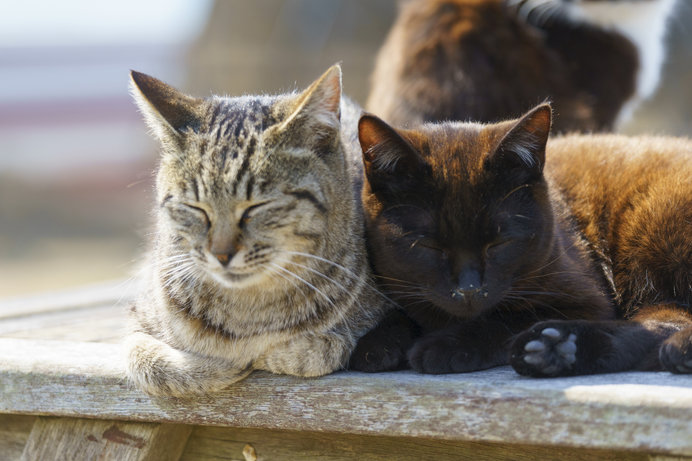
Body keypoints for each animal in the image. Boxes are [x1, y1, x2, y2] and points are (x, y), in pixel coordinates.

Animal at [123, 65, 384, 396]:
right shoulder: (137, 319)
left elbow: (322, 351)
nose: (221, 254)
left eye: (256, 207)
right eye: (196, 208)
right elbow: (147, 360)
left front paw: (272, 355)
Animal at [352, 102, 692, 376]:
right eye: (429, 246)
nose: (468, 290)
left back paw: (550, 346)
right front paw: (378, 342)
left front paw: (446, 345)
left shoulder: (588, 301)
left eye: (499, 244)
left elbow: (507, 319)